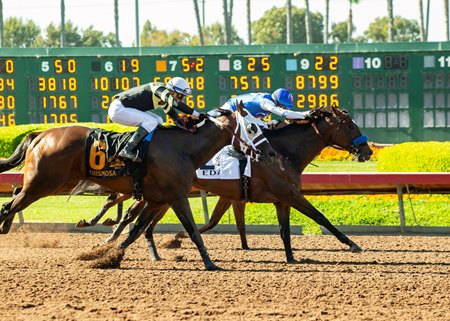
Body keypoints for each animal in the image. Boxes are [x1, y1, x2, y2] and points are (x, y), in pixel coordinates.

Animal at [0, 105, 276, 270]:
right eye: (252, 127)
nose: (271, 153)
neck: (183, 149)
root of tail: (40, 134)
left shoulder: (155, 200)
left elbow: (134, 230)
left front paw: (105, 256)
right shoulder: (177, 196)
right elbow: (192, 230)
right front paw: (210, 263)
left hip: (53, 182)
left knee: (12, 198)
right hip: (43, 183)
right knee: (10, 205)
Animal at [81, 105, 372, 262]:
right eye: (350, 125)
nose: (367, 151)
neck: (282, 152)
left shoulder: (279, 199)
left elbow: (284, 231)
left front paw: (291, 258)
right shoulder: (288, 194)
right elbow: (320, 217)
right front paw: (352, 244)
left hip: (163, 196)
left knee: (140, 220)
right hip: (164, 194)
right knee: (131, 215)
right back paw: (106, 237)